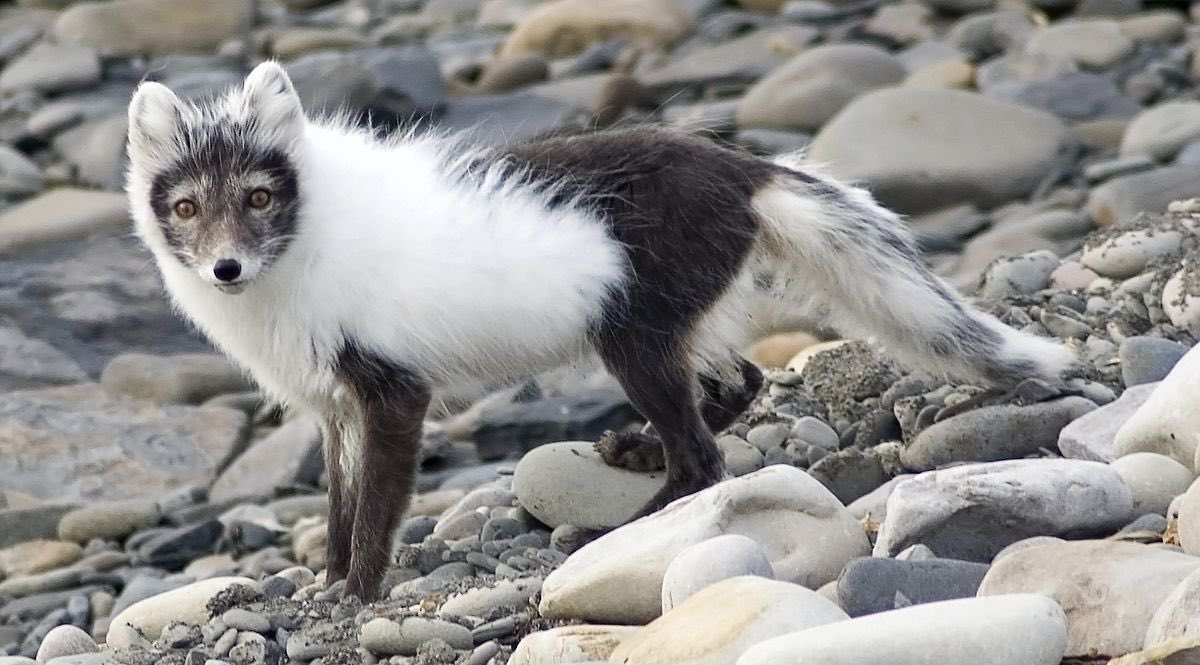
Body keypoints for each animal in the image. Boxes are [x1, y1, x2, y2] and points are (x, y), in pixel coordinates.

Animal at [125, 61, 1074, 601]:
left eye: (259, 196)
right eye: (187, 206)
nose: (225, 269)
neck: (307, 247)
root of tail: (742, 167)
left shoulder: (394, 390)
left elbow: (378, 509)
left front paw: (354, 592)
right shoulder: (330, 406)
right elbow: (336, 504)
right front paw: (321, 578)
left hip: (631, 338)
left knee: (703, 458)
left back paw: (611, 529)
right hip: (673, 325)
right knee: (741, 383)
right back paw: (630, 450)